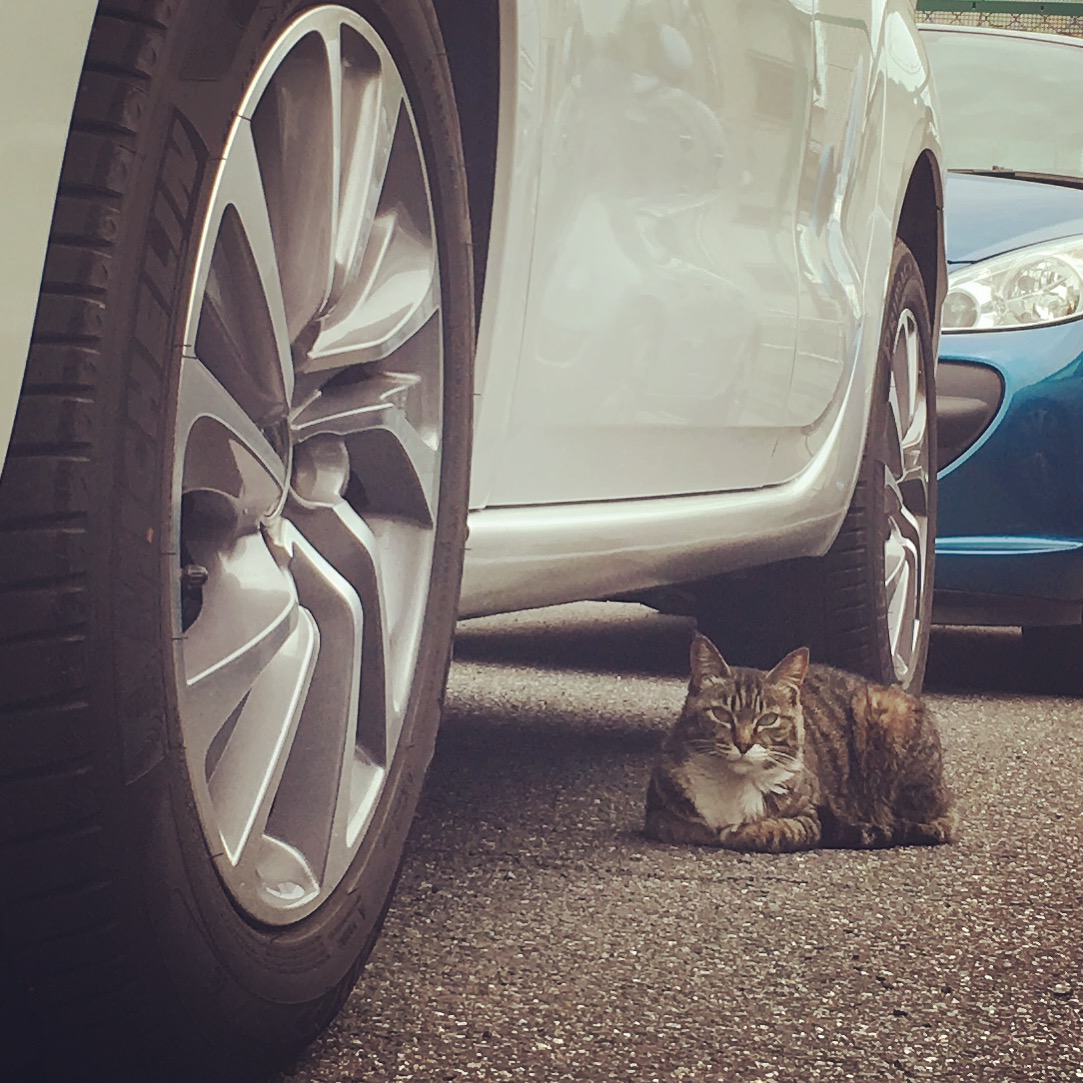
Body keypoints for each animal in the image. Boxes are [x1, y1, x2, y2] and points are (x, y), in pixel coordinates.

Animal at [641, 632, 957, 853]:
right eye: (721, 714)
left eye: (768, 719)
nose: (743, 743)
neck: (731, 782)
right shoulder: (657, 812)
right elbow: (680, 826)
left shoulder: (810, 817)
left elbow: (776, 831)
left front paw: (744, 830)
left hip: (889, 717)